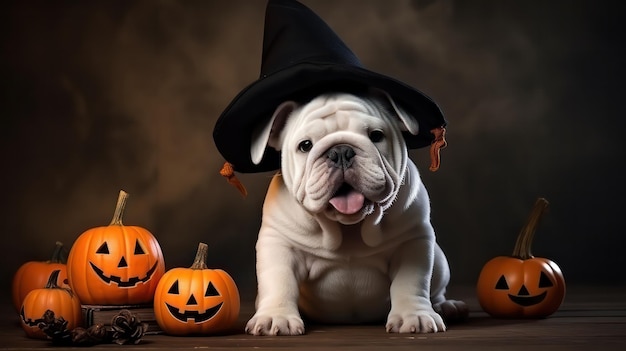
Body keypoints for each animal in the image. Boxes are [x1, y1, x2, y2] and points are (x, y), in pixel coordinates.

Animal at [244, 90, 464, 336]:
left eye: (376, 135)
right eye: (305, 145)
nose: (340, 151)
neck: (348, 227)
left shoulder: (412, 242)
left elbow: (411, 281)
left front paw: (414, 315)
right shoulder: (280, 244)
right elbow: (280, 280)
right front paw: (276, 317)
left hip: (441, 262)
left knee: (437, 290)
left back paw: (447, 306)